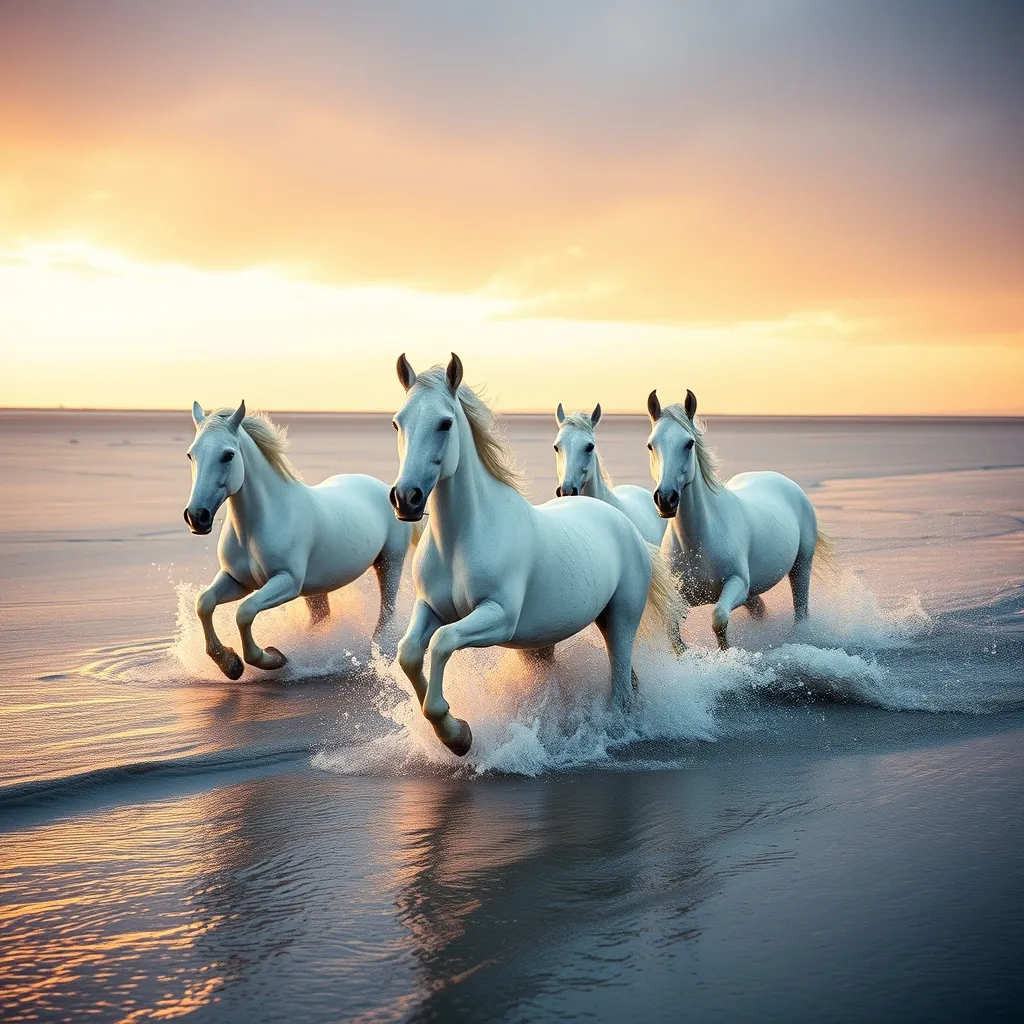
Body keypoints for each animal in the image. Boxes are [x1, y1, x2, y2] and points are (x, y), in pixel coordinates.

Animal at [183, 401, 416, 679]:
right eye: (191, 455)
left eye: (228, 455)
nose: (197, 517)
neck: (260, 524)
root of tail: (386, 489)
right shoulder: (237, 581)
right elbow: (204, 603)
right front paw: (229, 664)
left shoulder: (287, 582)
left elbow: (245, 612)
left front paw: (272, 657)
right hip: (316, 589)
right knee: (321, 618)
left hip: (390, 563)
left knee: (386, 614)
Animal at [646, 388, 824, 651]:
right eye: (651, 445)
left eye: (689, 443)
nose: (666, 499)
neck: (697, 543)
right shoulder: (683, 598)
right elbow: (673, 631)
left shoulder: (737, 584)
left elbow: (719, 619)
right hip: (753, 594)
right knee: (761, 610)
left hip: (801, 565)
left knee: (801, 609)